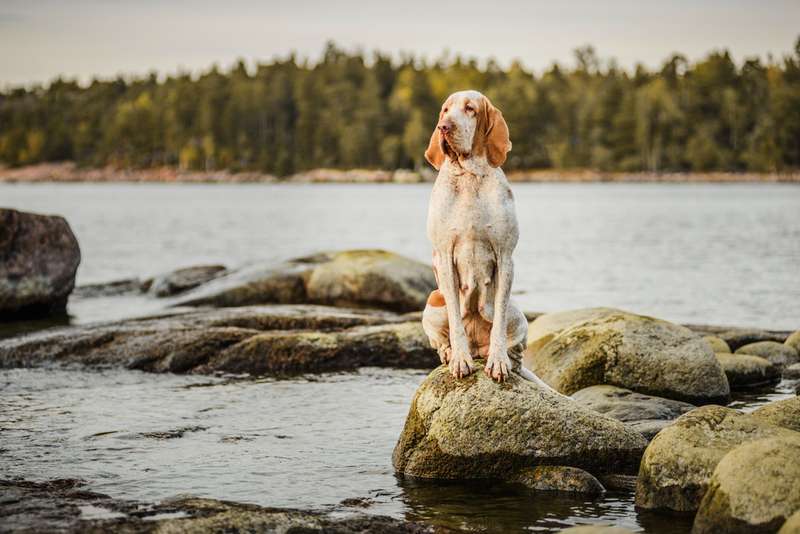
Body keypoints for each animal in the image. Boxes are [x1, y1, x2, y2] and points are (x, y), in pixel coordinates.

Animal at [422, 90, 548, 388]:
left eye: (470, 109)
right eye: (445, 110)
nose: (444, 127)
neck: (469, 177)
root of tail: (477, 348)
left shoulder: (505, 258)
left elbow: (499, 321)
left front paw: (498, 361)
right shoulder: (444, 258)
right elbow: (455, 322)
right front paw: (459, 360)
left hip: (519, 316)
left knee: (516, 351)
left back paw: (504, 361)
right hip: (433, 302)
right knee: (442, 340)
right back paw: (452, 354)